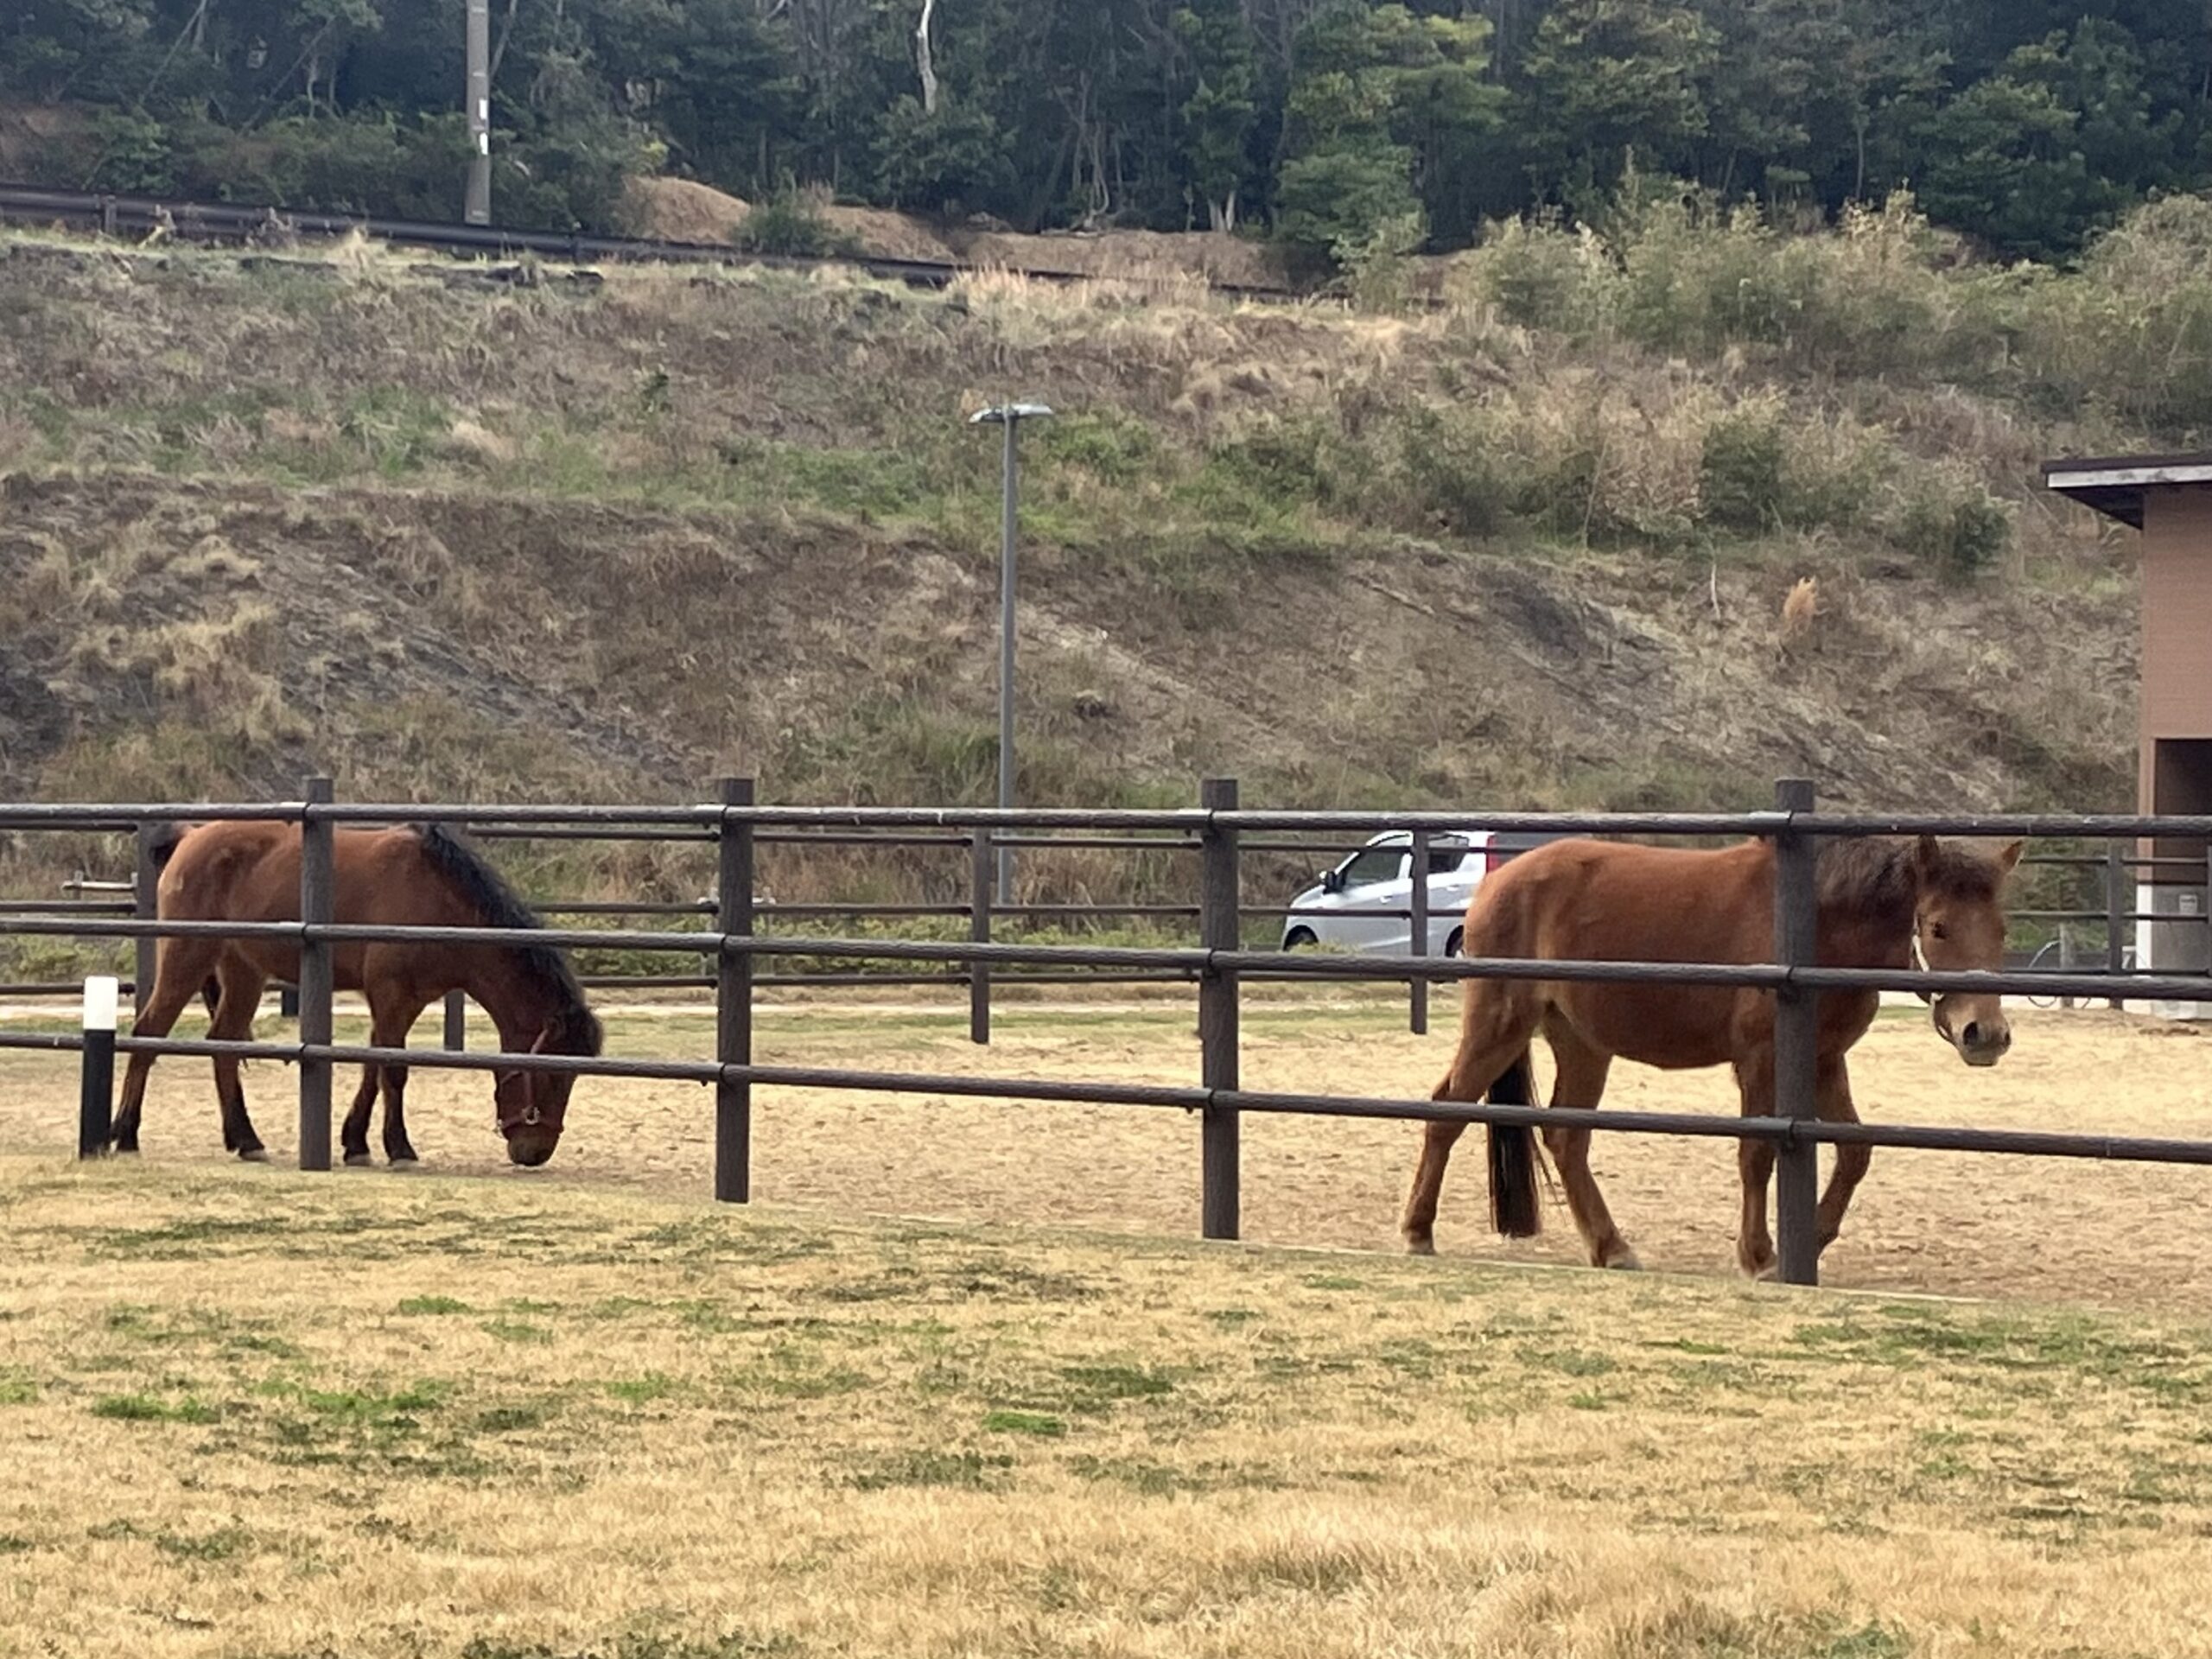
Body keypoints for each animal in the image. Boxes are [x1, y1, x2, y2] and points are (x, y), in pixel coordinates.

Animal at [113, 820, 604, 1169]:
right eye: (554, 1076)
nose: (535, 1152)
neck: (438, 900)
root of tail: (191, 837)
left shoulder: (404, 1001)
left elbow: (374, 1065)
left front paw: (356, 1143)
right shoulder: (390, 994)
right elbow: (394, 1071)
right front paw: (399, 1148)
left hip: (243, 971)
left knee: (223, 1044)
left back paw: (246, 1139)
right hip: (187, 956)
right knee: (149, 1034)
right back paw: (125, 1134)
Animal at [1400, 831, 2021, 1277]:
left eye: (2001, 930)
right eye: (1937, 927)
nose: (1984, 1033)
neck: (1813, 923)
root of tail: (1499, 883)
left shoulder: (1823, 1060)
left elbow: (1855, 1150)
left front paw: (1809, 1242)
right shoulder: (1760, 1061)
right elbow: (1757, 1154)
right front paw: (1759, 1256)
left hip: (1581, 1043)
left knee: (1565, 1139)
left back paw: (1612, 1247)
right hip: (1500, 1024)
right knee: (1447, 1111)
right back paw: (1417, 1232)